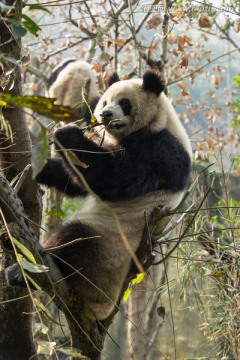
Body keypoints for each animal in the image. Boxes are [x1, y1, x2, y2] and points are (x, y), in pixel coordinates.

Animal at [5, 70, 192, 320]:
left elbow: (110, 176)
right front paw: (40, 165)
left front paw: (66, 133)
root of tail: (100, 307)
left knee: (74, 240)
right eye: (104, 101)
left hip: (105, 252)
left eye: (124, 103)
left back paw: (23, 272)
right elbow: (78, 181)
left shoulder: (160, 151)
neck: (159, 121)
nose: (105, 114)